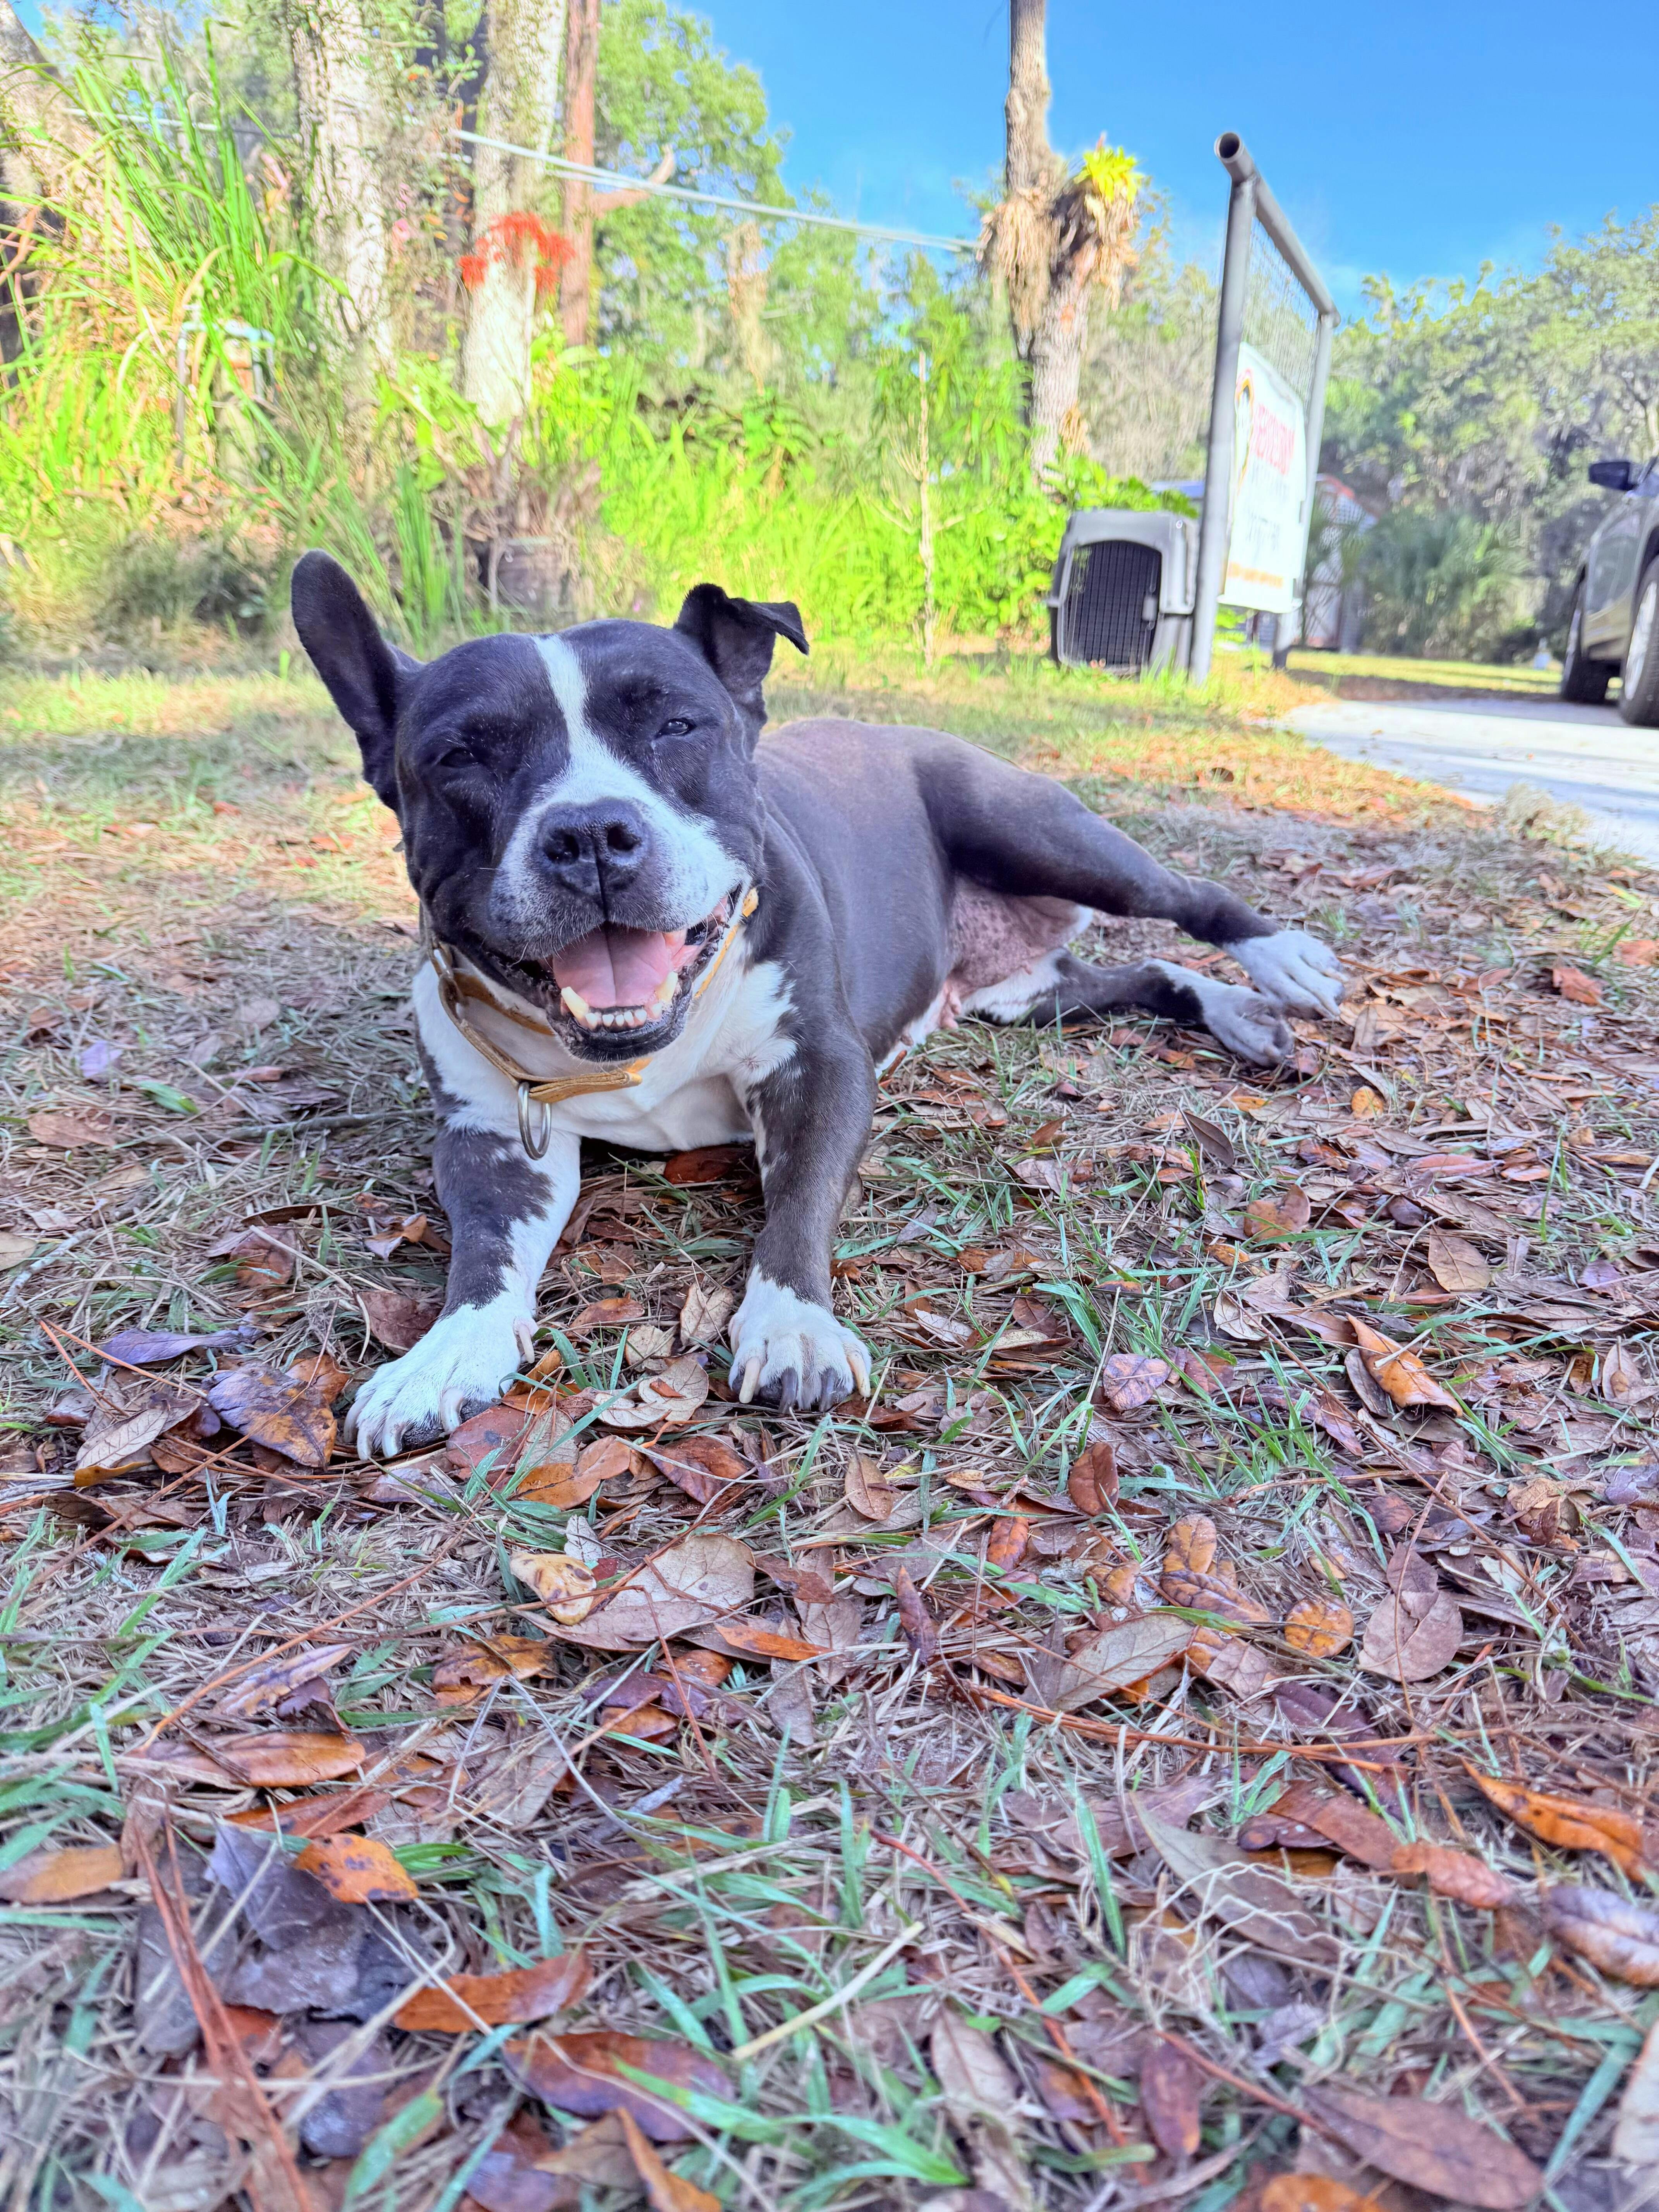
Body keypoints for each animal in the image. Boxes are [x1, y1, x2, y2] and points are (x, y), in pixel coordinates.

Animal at [291, 554, 1342, 1456]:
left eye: (677, 727)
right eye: (462, 756)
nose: (591, 832)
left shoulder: (818, 1070)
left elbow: (797, 1205)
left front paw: (793, 1322)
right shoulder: (495, 1140)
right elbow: (482, 1253)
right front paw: (443, 1355)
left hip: (1041, 831)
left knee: (1183, 897)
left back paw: (1282, 961)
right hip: (1022, 997)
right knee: (1137, 975)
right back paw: (1236, 1011)